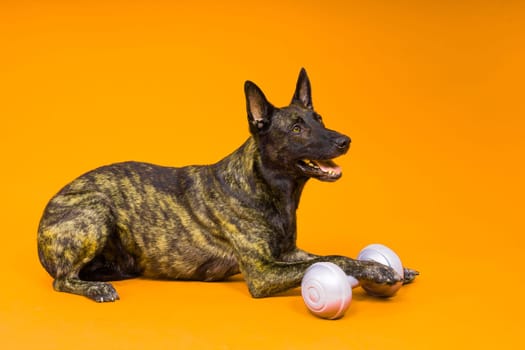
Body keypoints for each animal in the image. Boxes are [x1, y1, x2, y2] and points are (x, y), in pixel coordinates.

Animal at [36, 68, 418, 300]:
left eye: (319, 119)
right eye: (297, 128)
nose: (345, 141)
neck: (266, 187)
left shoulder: (288, 252)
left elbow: (333, 255)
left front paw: (383, 267)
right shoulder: (263, 272)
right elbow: (333, 260)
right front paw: (376, 270)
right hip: (96, 210)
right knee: (61, 279)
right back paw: (95, 288)